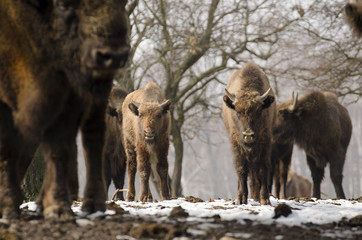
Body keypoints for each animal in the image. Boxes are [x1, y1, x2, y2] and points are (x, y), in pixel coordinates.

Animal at [221, 62, 278, 204]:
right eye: (237, 112)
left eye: (259, 111)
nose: (248, 135)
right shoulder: (236, 144)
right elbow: (241, 169)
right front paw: (241, 199)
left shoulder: (265, 142)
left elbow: (263, 169)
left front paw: (265, 199)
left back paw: (256, 196)